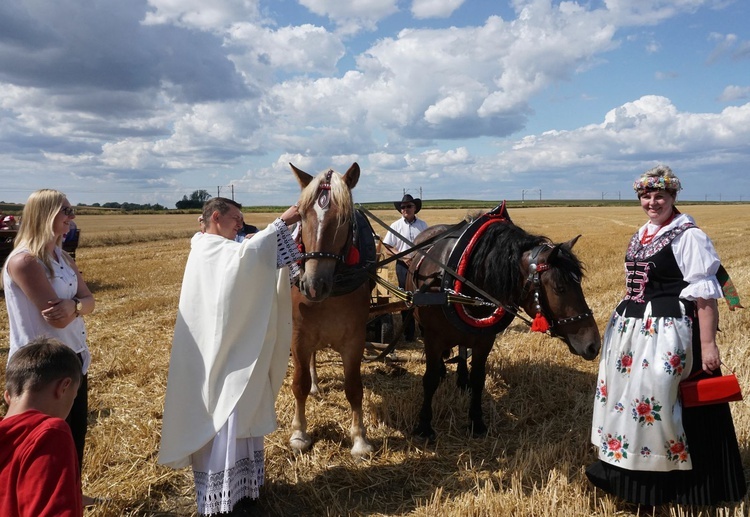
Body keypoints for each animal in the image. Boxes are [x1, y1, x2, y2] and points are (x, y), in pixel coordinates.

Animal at [288, 163, 376, 458]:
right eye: (301, 215)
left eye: (344, 218)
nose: (314, 285)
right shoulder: (299, 336)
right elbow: (299, 384)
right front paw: (299, 433)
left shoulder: (355, 339)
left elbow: (354, 388)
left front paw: (359, 439)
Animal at [408, 206, 604, 440]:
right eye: (560, 288)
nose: (593, 345)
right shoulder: (433, 338)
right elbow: (429, 380)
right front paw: (424, 426)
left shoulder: (484, 339)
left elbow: (478, 378)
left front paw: (476, 421)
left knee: (463, 350)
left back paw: (462, 379)